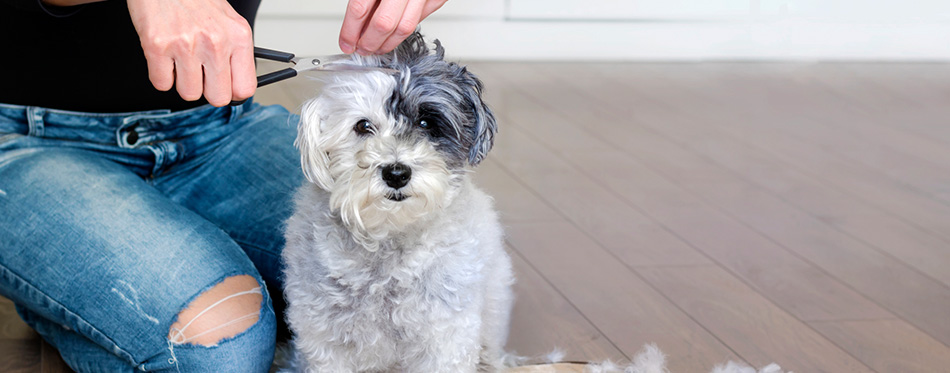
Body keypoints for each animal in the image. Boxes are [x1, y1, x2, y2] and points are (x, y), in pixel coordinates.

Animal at [282, 32, 516, 372]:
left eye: (426, 123)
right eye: (363, 126)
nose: (396, 173)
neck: (389, 236)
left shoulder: (446, 338)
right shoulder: (325, 340)